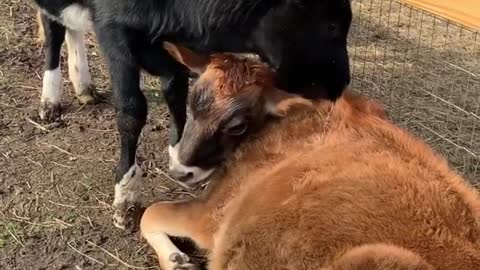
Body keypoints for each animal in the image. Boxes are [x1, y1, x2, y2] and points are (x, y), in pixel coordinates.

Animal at [140, 43, 480, 268]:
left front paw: (177, 260)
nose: (181, 170)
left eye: (237, 126)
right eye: (191, 105)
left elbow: (150, 213)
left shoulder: (210, 214)